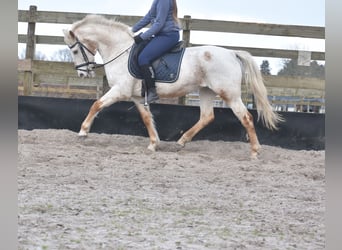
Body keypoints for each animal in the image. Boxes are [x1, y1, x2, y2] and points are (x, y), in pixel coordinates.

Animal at [62, 14, 282, 158]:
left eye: (74, 51)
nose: (82, 73)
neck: (120, 51)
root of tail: (231, 53)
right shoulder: (137, 96)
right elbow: (146, 118)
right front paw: (153, 144)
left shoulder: (119, 91)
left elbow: (96, 105)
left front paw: (83, 132)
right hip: (206, 91)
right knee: (207, 117)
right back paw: (181, 141)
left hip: (229, 94)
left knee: (246, 117)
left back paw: (255, 151)